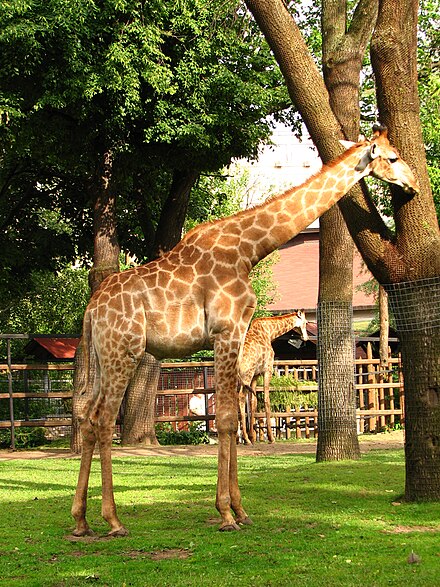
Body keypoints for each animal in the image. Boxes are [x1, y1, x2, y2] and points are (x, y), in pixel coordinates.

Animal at [239, 310, 308, 444]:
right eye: (306, 322)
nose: (306, 337)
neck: (270, 333)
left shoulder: (256, 375)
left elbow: (253, 402)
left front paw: (252, 436)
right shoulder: (267, 370)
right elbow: (266, 399)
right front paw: (271, 438)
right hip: (246, 375)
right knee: (240, 397)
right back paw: (245, 439)